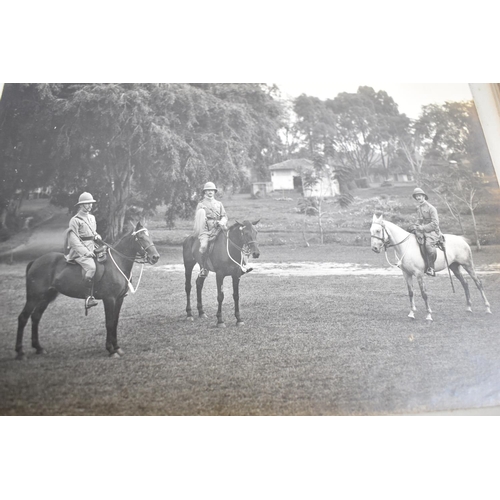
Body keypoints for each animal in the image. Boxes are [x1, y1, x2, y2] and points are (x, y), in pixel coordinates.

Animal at [15, 223, 159, 360]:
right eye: (141, 237)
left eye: (149, 236)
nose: (155, 257)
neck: (117, 264)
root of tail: (35, 261)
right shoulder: (109, 299)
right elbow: (109, 322)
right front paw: (111, 350)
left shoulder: (119, 299)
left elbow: (115, 322)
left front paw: (117, 347)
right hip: (33, 297)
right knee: (23, 318)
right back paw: (20, 352)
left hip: (46, 297)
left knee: (36, 317)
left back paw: (38, 348)